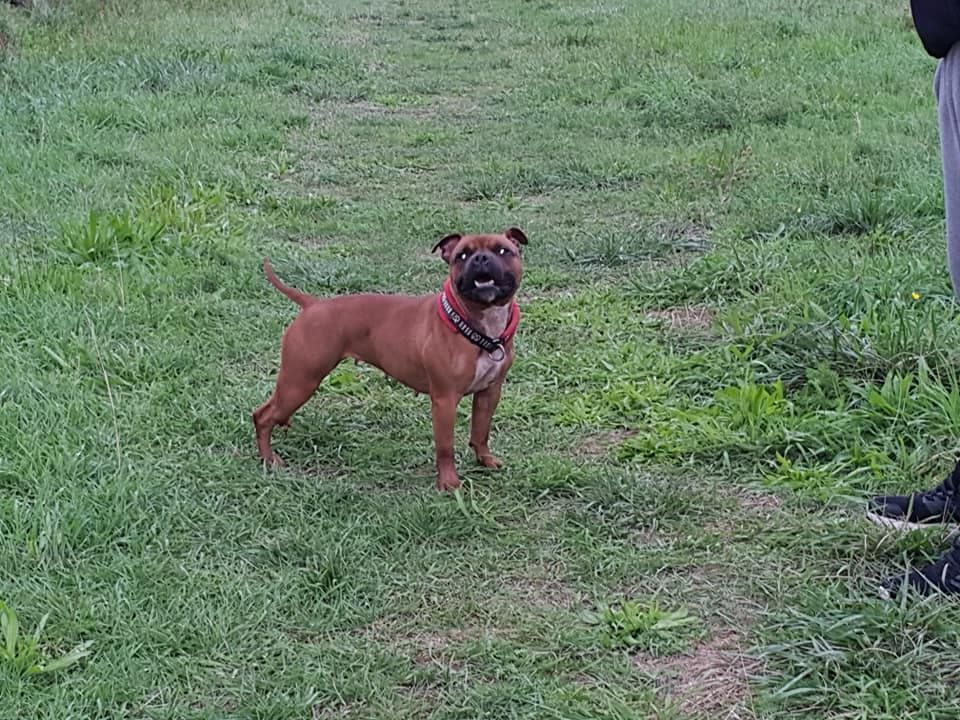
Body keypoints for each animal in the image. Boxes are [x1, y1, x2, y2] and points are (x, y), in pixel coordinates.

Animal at [253, 227, 527, 491]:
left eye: (503, 250)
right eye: (462, 255)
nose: (481, 258)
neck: (477, 323)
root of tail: (313, 304)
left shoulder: (489, 394)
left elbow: (481, 431)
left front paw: (484, 460)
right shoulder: (445, 400)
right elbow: (445, 447)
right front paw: (449, 483)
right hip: (300, 382)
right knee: (262, 416)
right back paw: (270, 460)